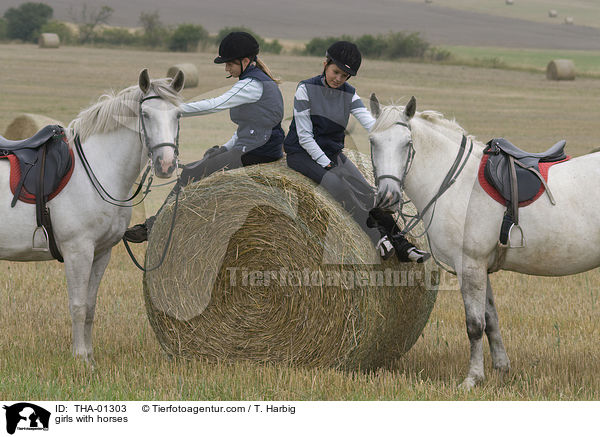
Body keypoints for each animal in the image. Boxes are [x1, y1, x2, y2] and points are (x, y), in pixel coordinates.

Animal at [0, 69, 184, 362]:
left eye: (178, 115)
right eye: (145, 115)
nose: (165, 164)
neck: (98, 168)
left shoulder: (101, 253)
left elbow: (90, 306)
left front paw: (89, 356)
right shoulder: (79, 251)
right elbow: (77, 306)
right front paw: (79, 359)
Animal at [370, 96, 600, 388]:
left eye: (407, 143)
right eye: (372, 140)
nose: (387, 198)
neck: (459, 185)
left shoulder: (469, 265)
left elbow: (474, 325)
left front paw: (473, 378)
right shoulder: (481, 267)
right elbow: (491, 319)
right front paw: (501, 368)